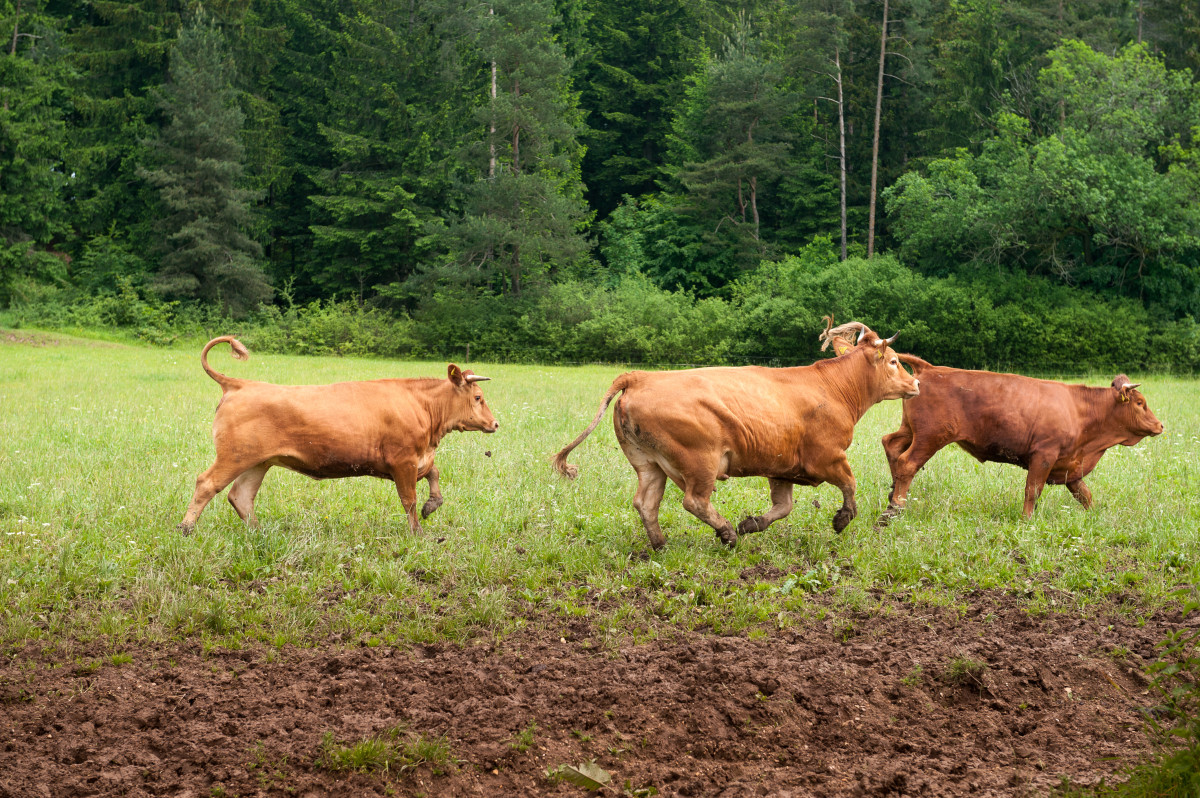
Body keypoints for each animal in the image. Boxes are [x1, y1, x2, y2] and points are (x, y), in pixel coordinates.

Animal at [175, 336, 499, 535]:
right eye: (479, 397)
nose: (495, 424)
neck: (422, 407)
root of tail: (241, 384)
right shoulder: (403, 460)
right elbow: (408, 499)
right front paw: (417, 531)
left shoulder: (418, 459)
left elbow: (434, 473)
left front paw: (432, 506)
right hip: (234, 456)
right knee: (207, 484)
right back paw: (186, 529)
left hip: (258, 461)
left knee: (240, 496)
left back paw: (259, 532)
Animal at [552, 319, 916, 547]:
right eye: (894, 361)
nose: (915, 383)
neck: (832, 386)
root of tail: (639, 376)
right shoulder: (828, 457)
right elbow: (850, 485)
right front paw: (842, 519)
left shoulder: (781, 468)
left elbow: (783, 507)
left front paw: (752, 523)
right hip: (700, 462)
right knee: (695, 501)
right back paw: (726, 532)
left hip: (648, 464)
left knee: (646, 503)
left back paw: (661, 544)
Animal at [883, 355, 1161, 523]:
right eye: (1140, 403)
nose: (1160, 425)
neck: (1080, 410)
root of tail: (930, 368)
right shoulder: (1044, 455)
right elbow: (1032, 490)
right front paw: (1027, 520)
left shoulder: (1071, 465)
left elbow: (1085, 495)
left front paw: (1095, 517)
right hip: (931, 437)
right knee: (907, 463)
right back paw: (898, 506)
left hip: (910, 430)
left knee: (891, 444)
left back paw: (892, 494)